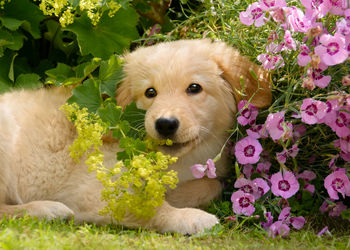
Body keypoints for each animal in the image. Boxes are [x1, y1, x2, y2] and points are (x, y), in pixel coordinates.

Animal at [0, 39, 270, 234]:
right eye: (150, 92)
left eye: (194, 88)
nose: (165, 124)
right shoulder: (95, 187)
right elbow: (148, 207)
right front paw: (189, 217)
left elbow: (211, 184)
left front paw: (176, 196)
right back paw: (46, 210)